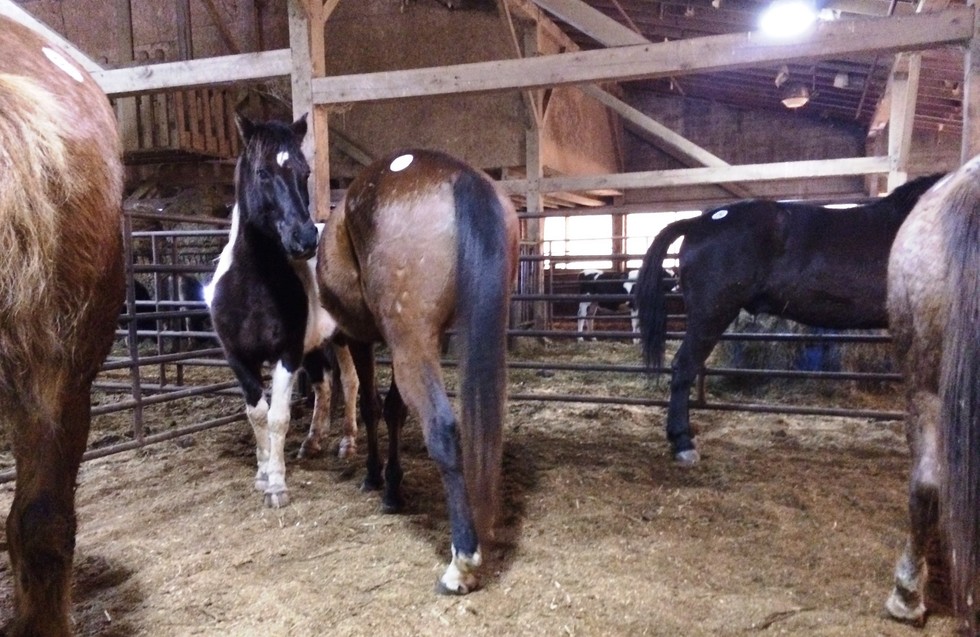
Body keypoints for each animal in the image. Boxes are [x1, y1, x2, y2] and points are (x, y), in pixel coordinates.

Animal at [205, 113, 358, 508]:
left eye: (305, 172)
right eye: (262, 171)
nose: (304, 239)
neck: (252, 288)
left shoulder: (286, 353)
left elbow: (277, 417)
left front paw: (276, 485)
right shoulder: (238, 358)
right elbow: (256, 414)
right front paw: (262, 475)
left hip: (347, 337)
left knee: (351, 381)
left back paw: (348, 442)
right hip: (319, 343)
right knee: (324, 384)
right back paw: (313, 441)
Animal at [317, 149, 518, 594]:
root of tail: (456, 174)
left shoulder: (362, 339)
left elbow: (372, 406)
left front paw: (375, 476)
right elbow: (394, 410)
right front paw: (393, 486)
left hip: (408, 344)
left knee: (442, 428)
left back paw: (462, 562)